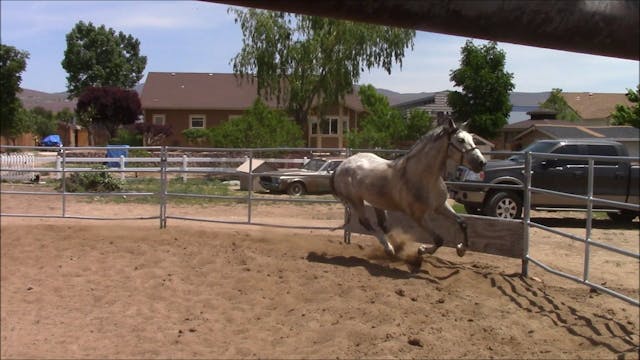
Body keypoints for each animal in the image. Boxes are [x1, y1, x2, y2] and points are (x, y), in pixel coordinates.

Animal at [330, 118, 484, 262]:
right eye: (460, 140)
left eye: (472, 138)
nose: (481, 162)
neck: (423, 177)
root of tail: (340, 166)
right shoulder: (418, 216)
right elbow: (439, 239)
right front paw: (421, 250)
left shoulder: (440, 206)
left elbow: (462, 222)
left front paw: (461, 249)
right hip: (356, 201)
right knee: (366, 222)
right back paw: (389, 249)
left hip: (376, 202)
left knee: (383, 224)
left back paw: (393, 246)